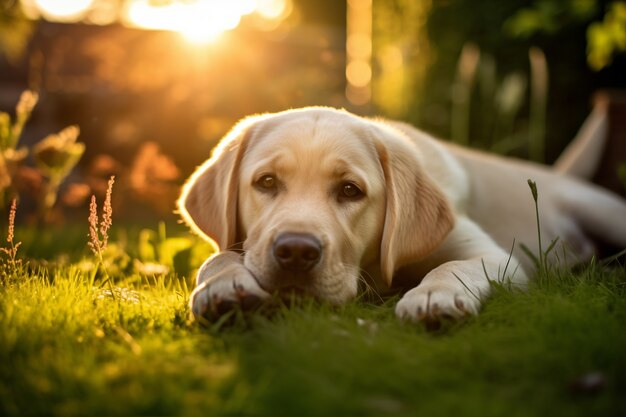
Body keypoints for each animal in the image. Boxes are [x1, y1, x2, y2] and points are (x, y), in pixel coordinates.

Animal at [176, 106, 624, 322]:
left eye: (350, 190)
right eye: (266, 182)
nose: (296, 252)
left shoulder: (496, 256)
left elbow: (452, 267)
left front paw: (433, 296)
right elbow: (219, 255)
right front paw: (222, 286)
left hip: (604, 210)